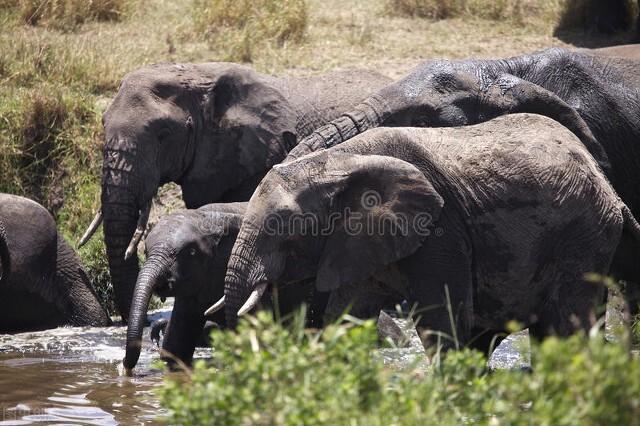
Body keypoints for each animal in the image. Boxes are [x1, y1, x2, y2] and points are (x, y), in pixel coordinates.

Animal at [212, 113, 640, 352]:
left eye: (282, 227)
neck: (337, 161)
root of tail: (610, 188)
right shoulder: (359, 243)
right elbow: (346, 318)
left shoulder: (441, 231)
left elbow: (442, 323)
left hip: (583, 238)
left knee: (566, 328)